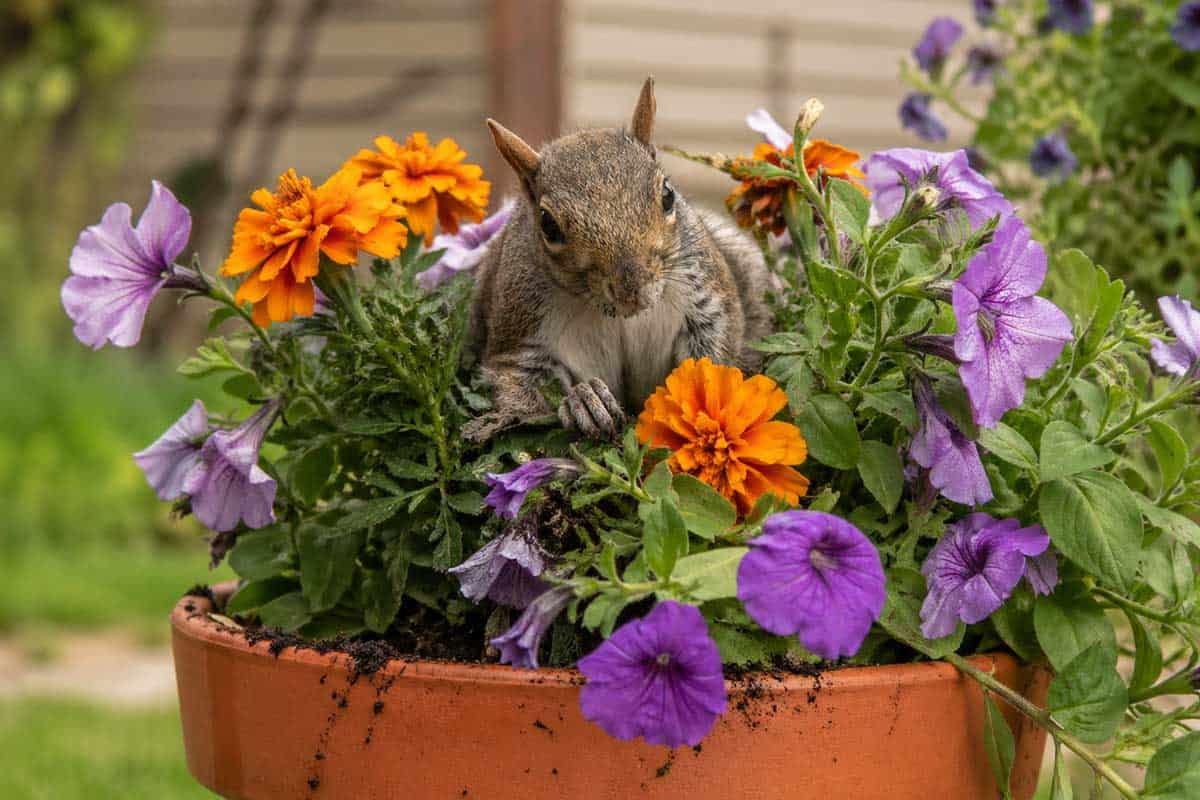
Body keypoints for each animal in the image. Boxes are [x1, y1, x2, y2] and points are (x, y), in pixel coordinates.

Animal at [464, 77, 773, 442]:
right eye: (547, 224)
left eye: (667, 195)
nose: (633, 292)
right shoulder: (520, 329)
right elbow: (519, 386)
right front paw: (584, 402)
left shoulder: (706, 295)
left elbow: (714, 348)